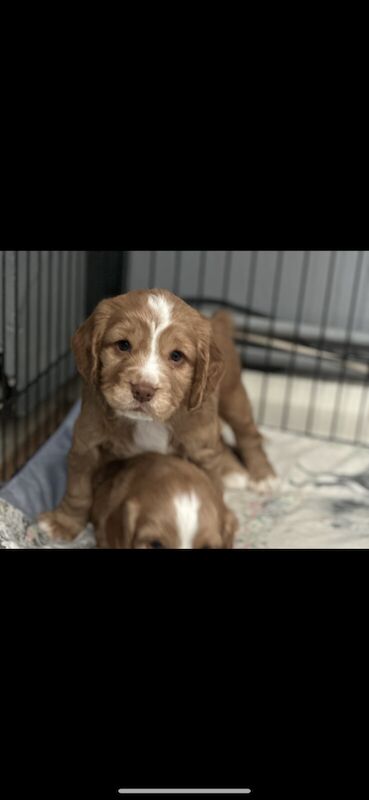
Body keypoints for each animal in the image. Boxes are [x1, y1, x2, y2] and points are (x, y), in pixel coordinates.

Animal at [37, 286, 274, 536]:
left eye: (177, 356)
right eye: (123, 345)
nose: (143, 390)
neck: (148, 422)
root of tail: (216, 321)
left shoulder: (200, 447)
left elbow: (211, 486)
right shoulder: (87, 442)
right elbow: (78, 490)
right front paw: (63, 523)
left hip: (233, 395)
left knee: (247, 434)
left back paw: (262, 475)